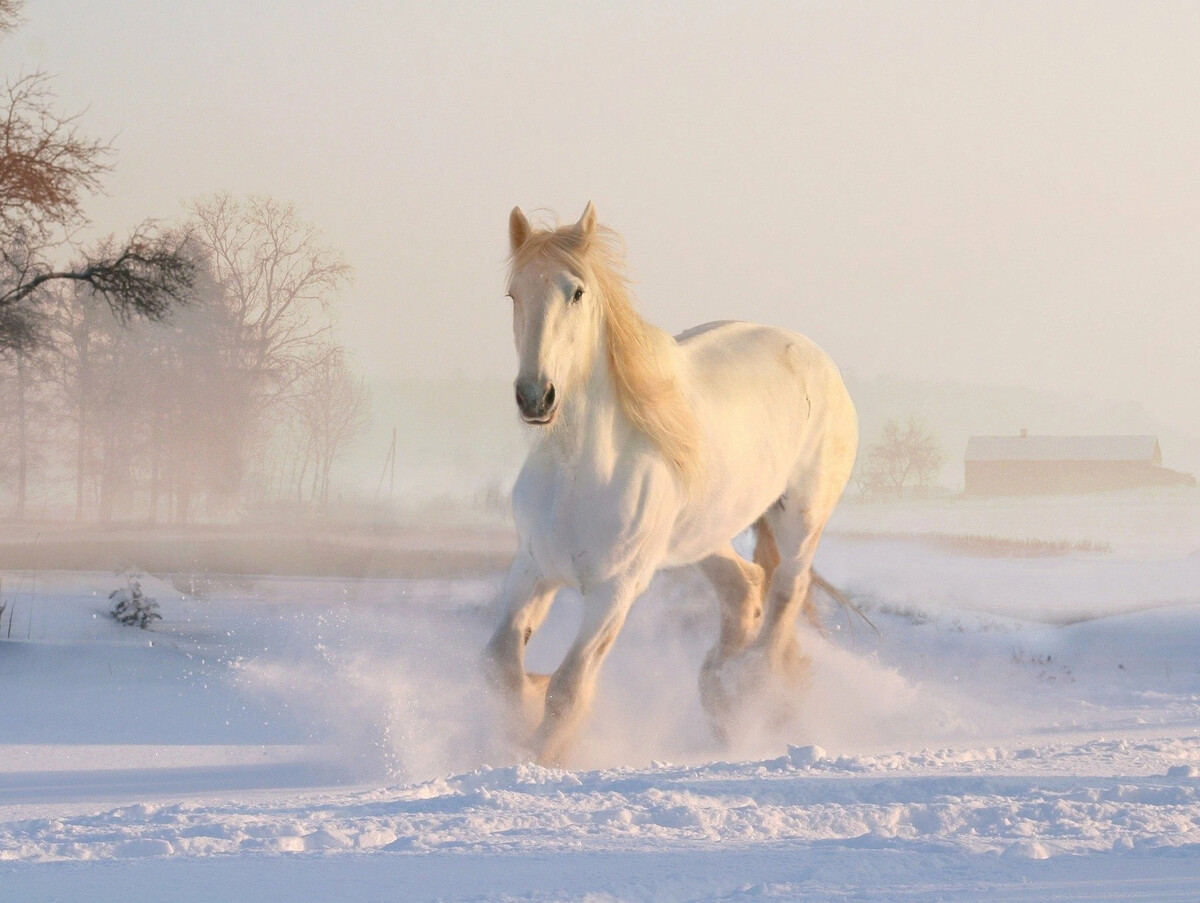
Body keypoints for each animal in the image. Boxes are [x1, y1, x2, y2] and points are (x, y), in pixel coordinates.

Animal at [482, 200, 859, 763]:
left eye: (577, 291)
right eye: (514, 294)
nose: (535, 396)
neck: (580, 472)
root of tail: (816, 357)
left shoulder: (616, 589)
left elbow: (568, 689)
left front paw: (540, 757)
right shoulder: (533, 567)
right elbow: (501, 666)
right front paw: (519, 721)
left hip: (801, 519)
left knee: (785, 594)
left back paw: (751, 692)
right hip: (702, 536)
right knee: (745, 587)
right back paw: (720, 694)